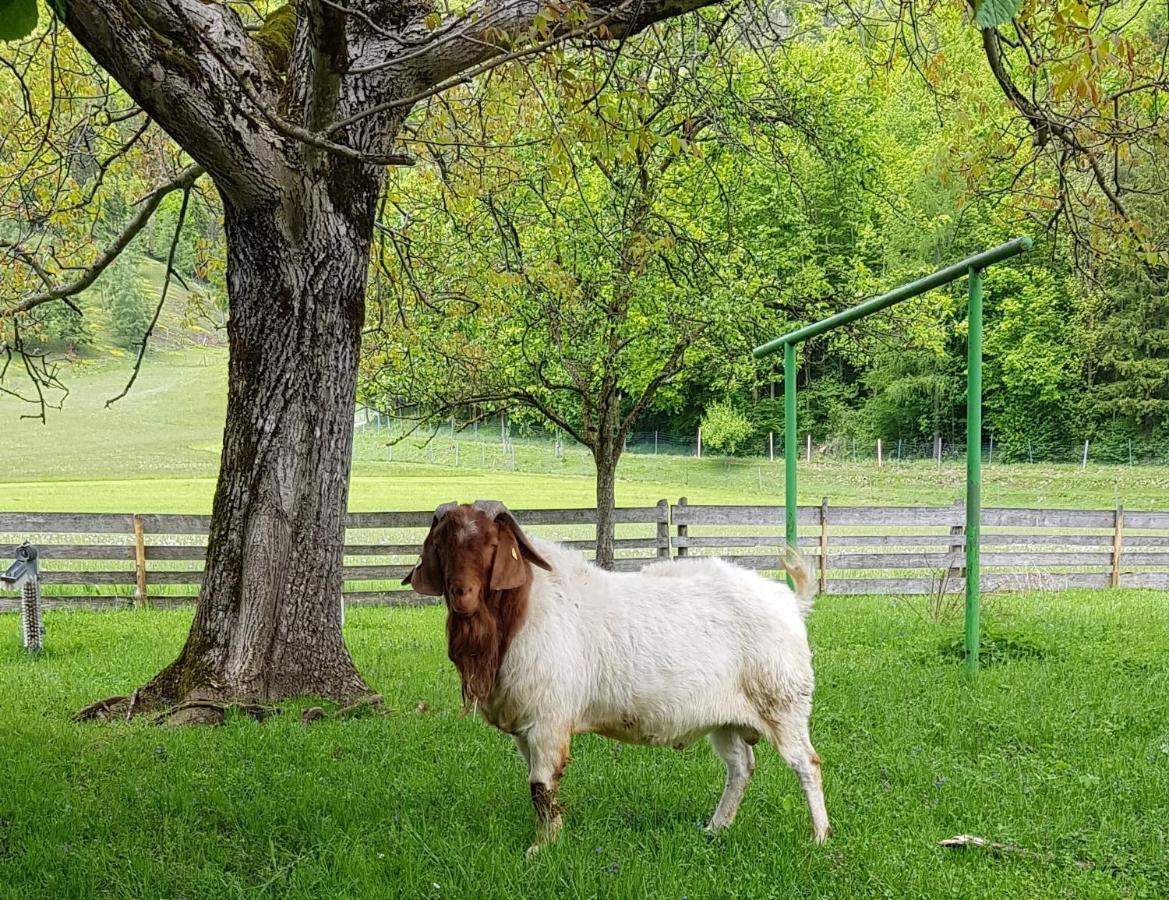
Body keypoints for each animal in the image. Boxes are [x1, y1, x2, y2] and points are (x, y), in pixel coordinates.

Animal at [406, 497, 827, 855]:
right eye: (442, 544)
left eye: (492, 544)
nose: (461, 593)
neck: (521, 610)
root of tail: (791, 602)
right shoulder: (524, 727)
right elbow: (538, 787)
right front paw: (551, 838)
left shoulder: (548, 720)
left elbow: (541, 786)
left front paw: (541, 849)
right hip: (726, 720)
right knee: (741, 766)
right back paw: (716, 828)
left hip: (784, 704)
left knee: (806, 763)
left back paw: (820, 836)